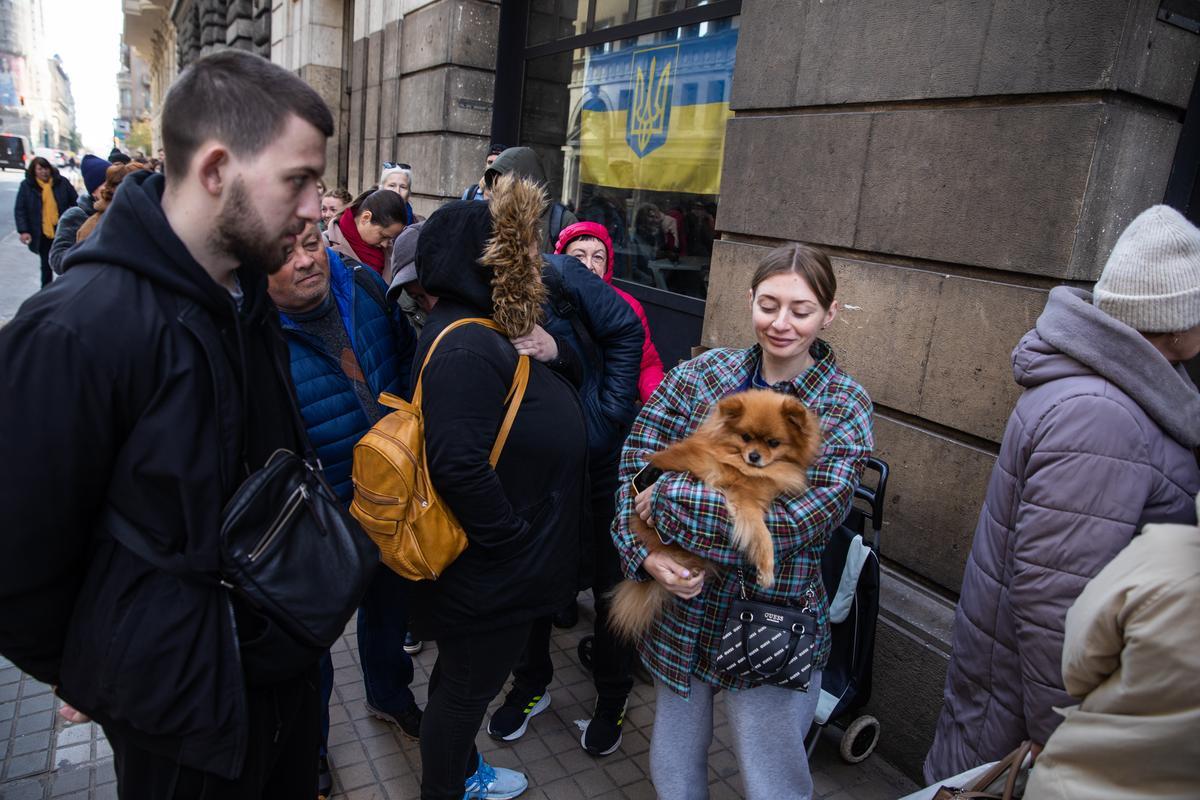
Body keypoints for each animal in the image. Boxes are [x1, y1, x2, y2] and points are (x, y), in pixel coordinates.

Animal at [614, 388, 820, 642]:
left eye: (773, 443)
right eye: (746, 437)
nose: (754, 456)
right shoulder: (744, 501)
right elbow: (762, 535)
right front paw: (766, 569)